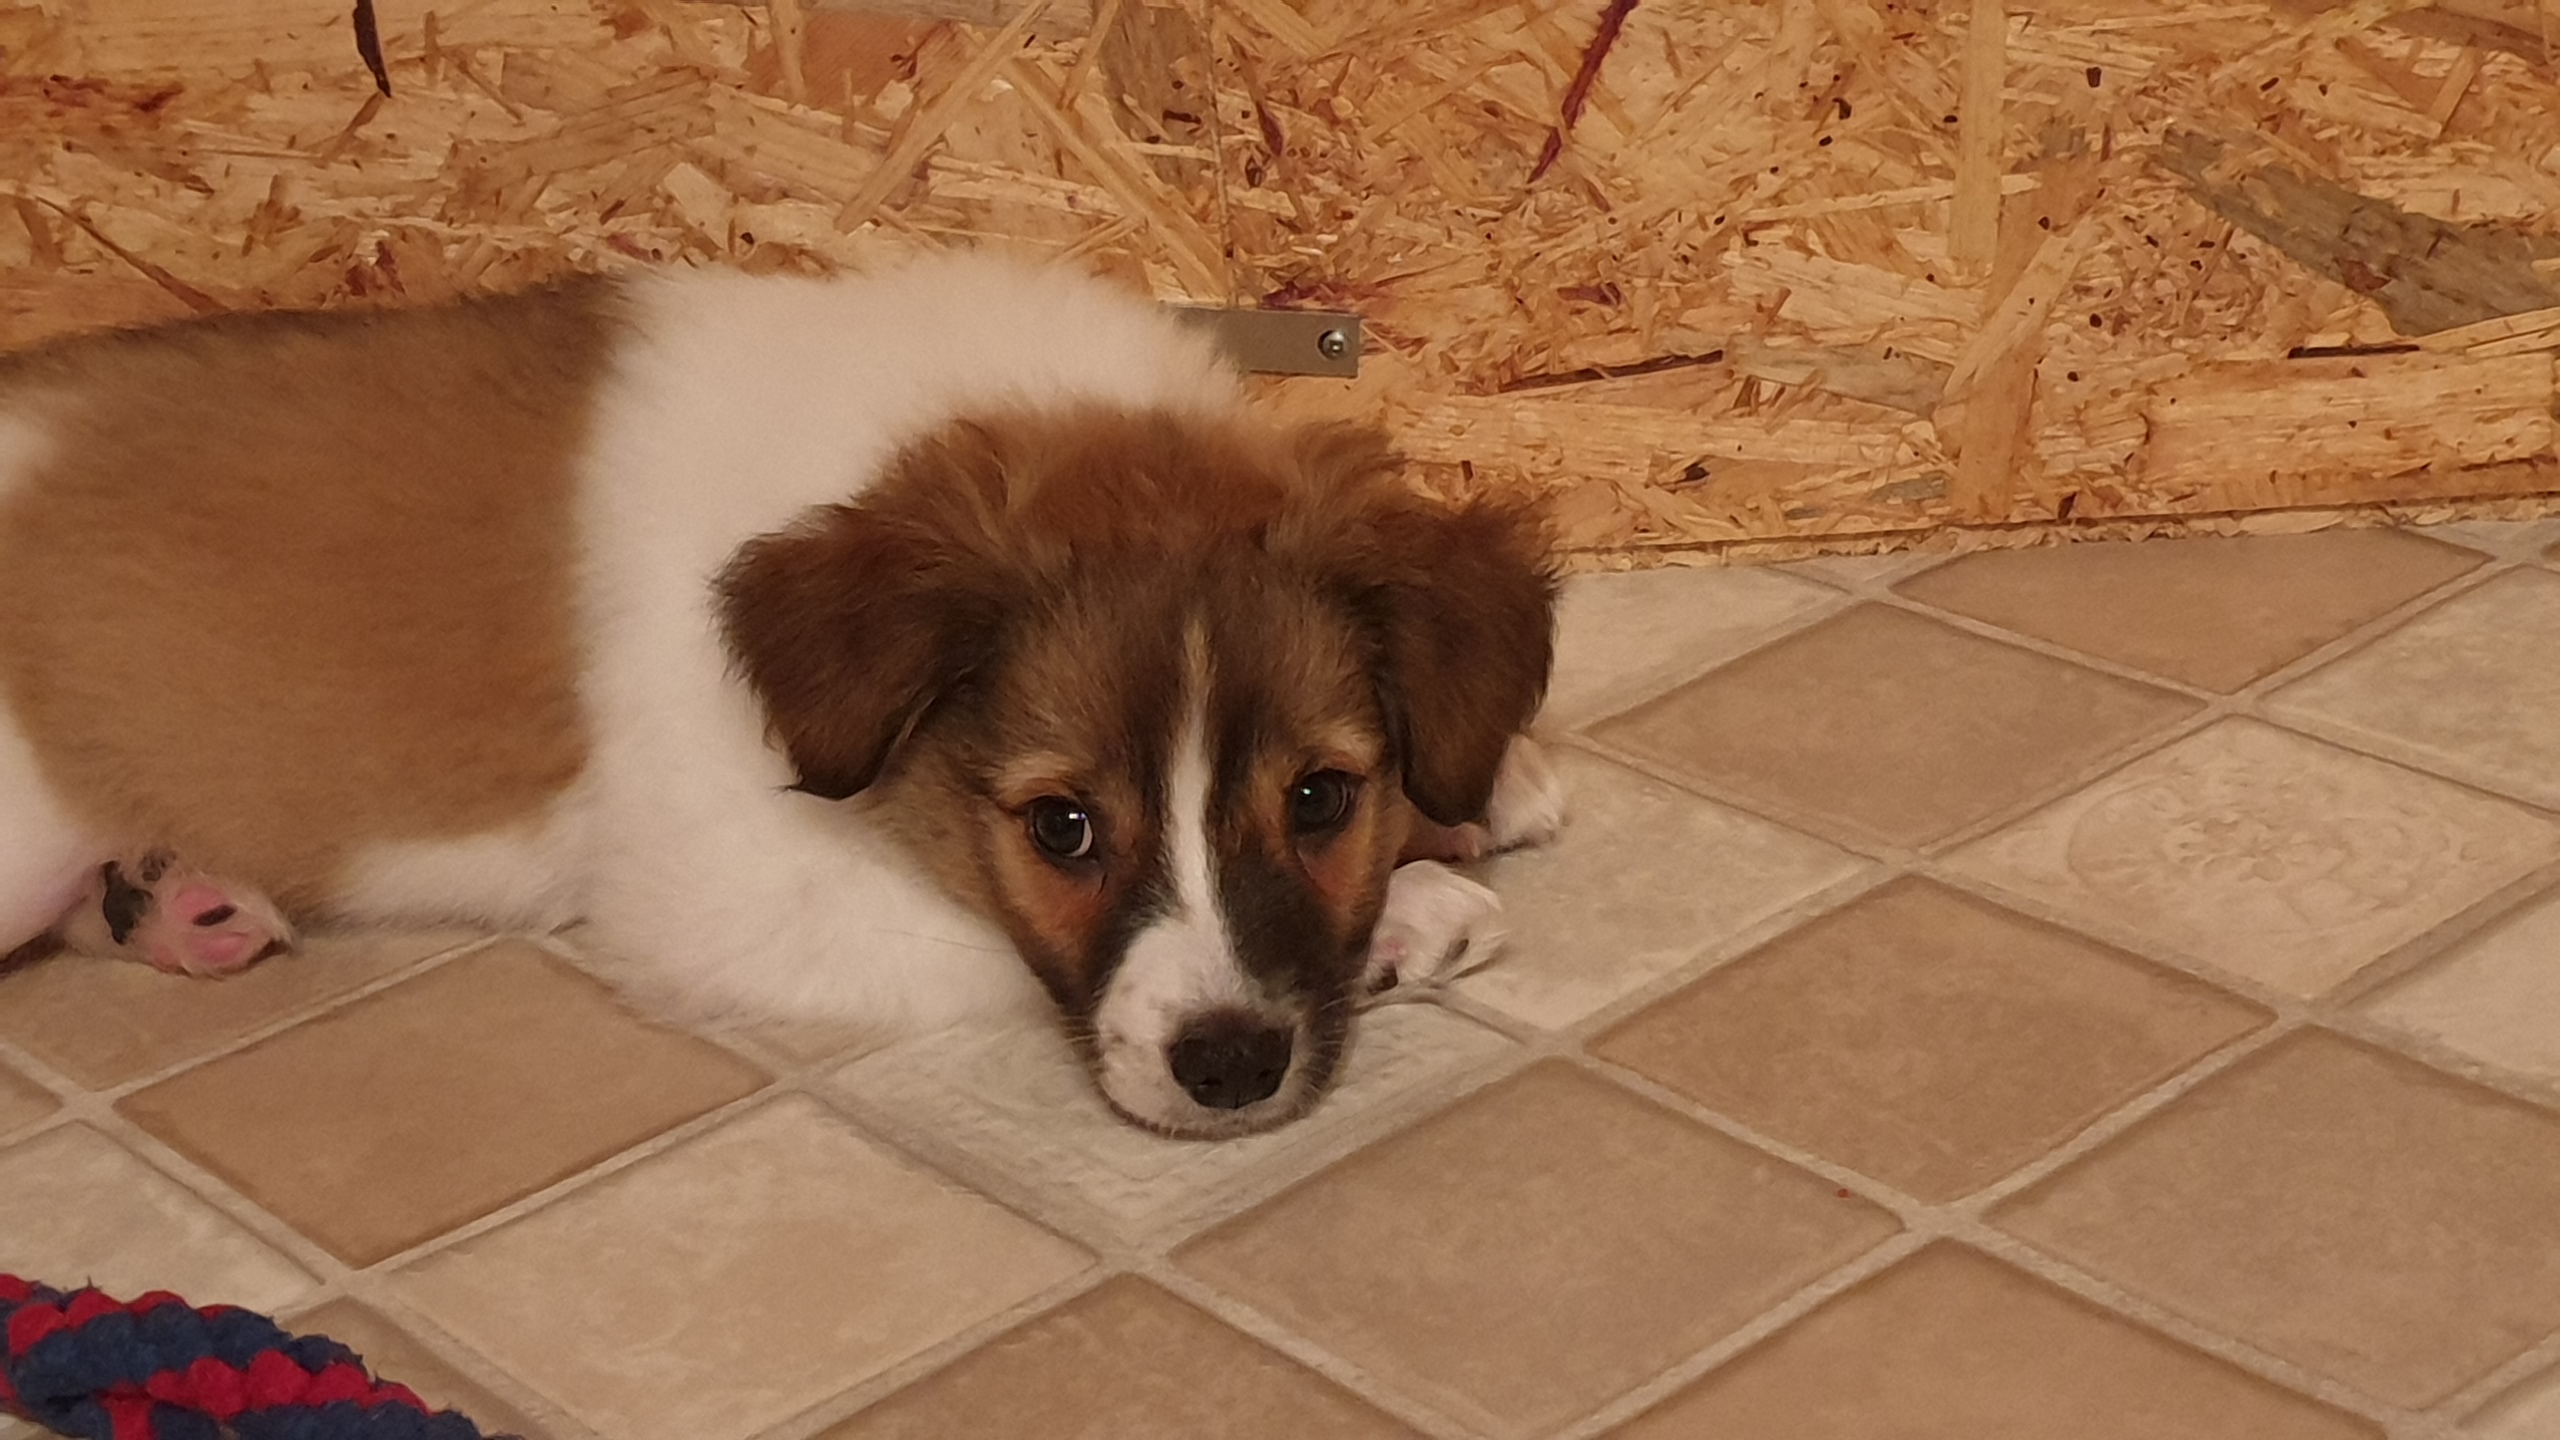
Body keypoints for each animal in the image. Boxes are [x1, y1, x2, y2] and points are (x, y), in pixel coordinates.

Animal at [0, 252, 1561, 1138]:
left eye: (1321, 798)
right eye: (1059, 830)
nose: (1230, 1070)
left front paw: (1482, 789)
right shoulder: (725, 895)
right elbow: (997, 949)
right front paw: (1416, 907)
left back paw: (173, 903)